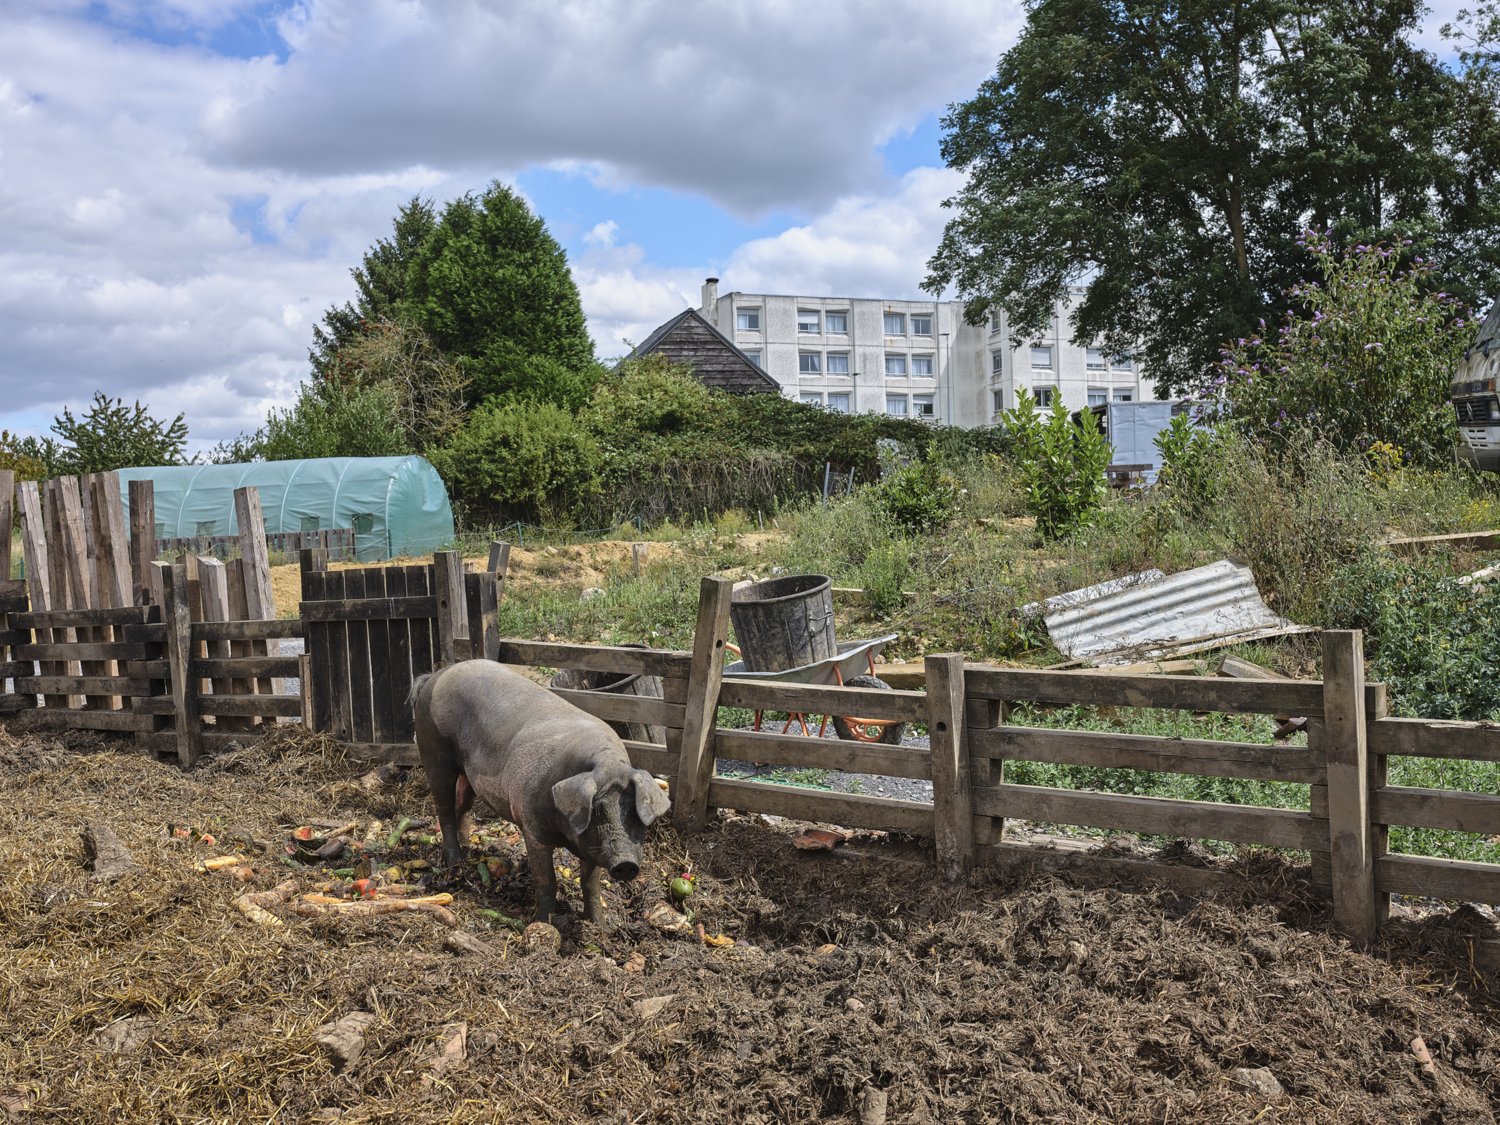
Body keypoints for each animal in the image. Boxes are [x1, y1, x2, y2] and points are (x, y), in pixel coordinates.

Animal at [410, 659, 671, 925]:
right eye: (596, 809)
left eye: (633, 811)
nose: (625, 862)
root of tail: (436, 675)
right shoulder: (532, 830)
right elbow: (547, 881)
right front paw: (543, 923)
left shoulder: (592, 846)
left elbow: (590, 884)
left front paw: (599, 926)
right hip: (434, 751)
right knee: (444, 809)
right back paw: (455, 861)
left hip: (467, 771)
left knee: (462, 805)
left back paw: (467, 847)